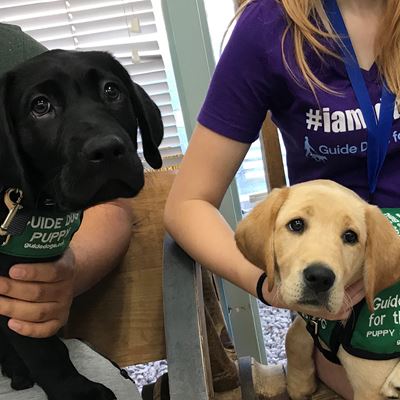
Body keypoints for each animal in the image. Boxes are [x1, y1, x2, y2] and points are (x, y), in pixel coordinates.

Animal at [236, 180, 400, 400]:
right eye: (296, 224)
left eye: (350, 236)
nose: (320, 278)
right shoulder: (310, 316)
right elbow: (293, 335)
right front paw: (299, 383)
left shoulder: (370, 389)